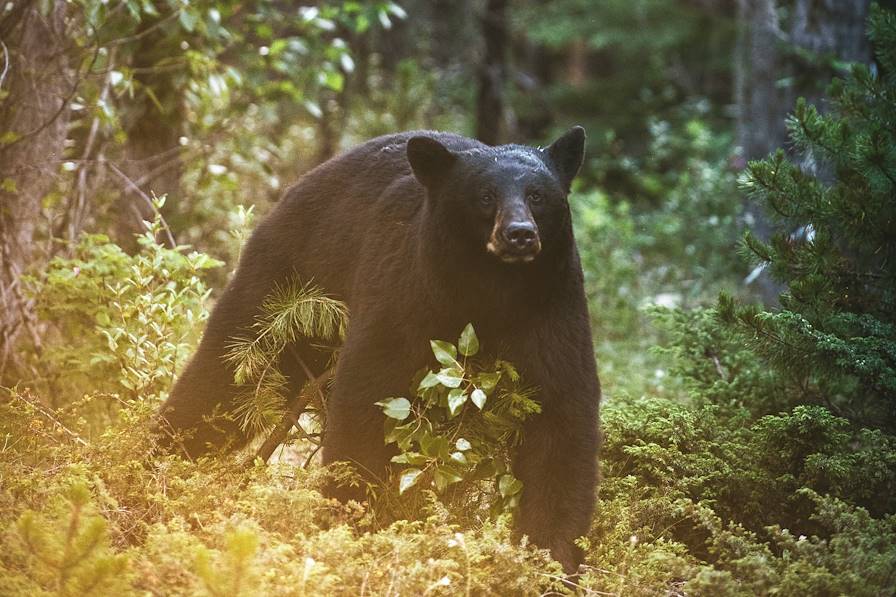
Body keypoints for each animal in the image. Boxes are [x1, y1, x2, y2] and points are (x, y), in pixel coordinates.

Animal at [161, 128, 600, 572]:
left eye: (538, 195)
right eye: (485, 195)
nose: (520, 233)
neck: (492, 288)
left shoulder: (551, 310)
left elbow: (561, 422)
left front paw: (550, 558)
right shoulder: (408, 292)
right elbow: (368, 397)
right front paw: (353, 522)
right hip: (287, 285)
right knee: (229, 376)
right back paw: (163, 459)